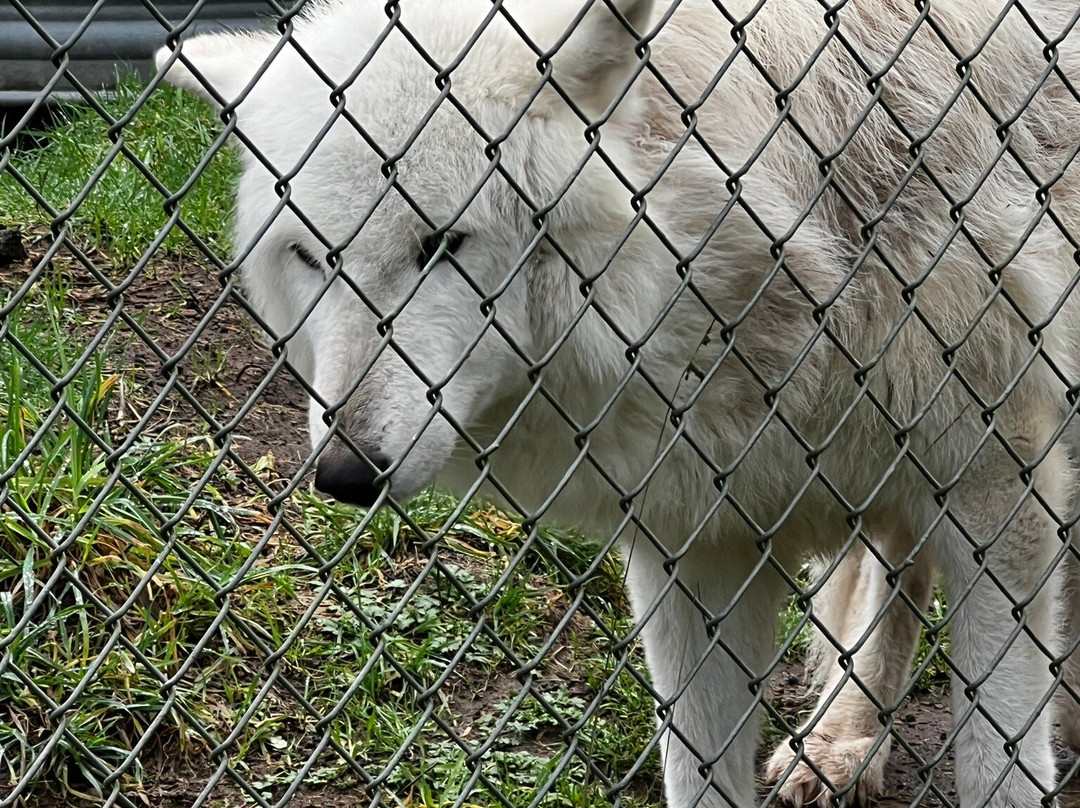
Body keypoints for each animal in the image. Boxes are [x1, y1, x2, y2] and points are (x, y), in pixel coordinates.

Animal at [157, 0, 1080, 805]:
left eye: (441, 243)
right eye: (310, 256)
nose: (345, 475)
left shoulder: (998, 486)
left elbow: (998, 764)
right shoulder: (700, 541)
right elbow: (698, 775)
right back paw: (845, 741)